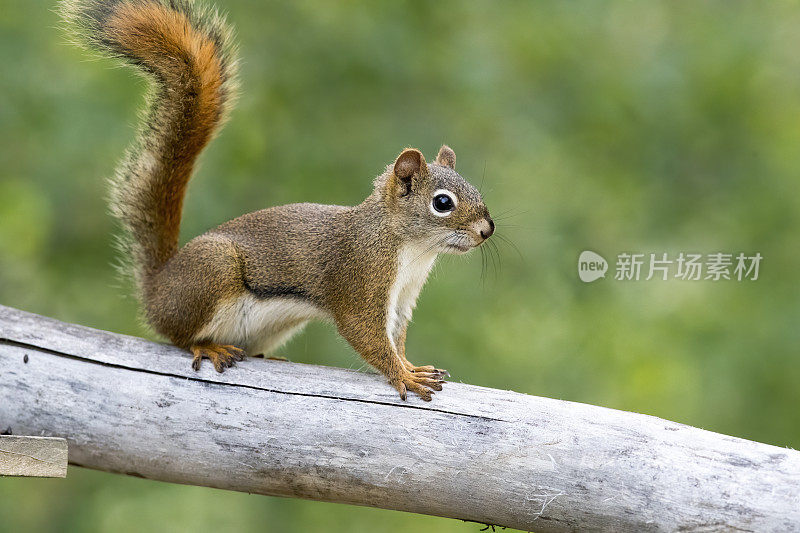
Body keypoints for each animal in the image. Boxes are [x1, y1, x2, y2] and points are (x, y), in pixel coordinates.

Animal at [64, 0, 494, 400]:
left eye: (474, 188)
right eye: (443, 203)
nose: (487, 230)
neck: (413, 250)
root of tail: (158, 287)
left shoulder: (403, 298)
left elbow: (397, 336)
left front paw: (412, 365)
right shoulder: (359, 279)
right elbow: (368, 335)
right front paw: (403, 375)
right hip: (211, 271)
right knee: (178, 336)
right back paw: (209, 346)